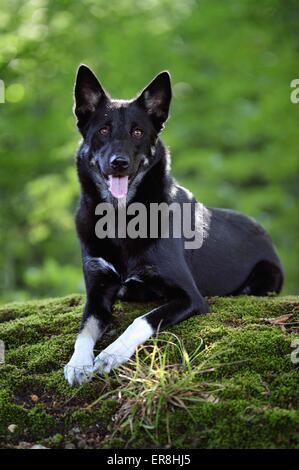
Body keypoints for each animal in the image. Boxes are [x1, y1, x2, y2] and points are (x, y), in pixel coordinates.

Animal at [63, 65, 284, 386]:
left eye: (138, 132)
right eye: (103, 130)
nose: (119, 163)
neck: (121, 218)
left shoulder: (189, 297)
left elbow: (141, 319)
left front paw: (112, 353)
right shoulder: (97, 291)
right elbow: (84, 329)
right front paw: (78, 363)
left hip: (265, 276)